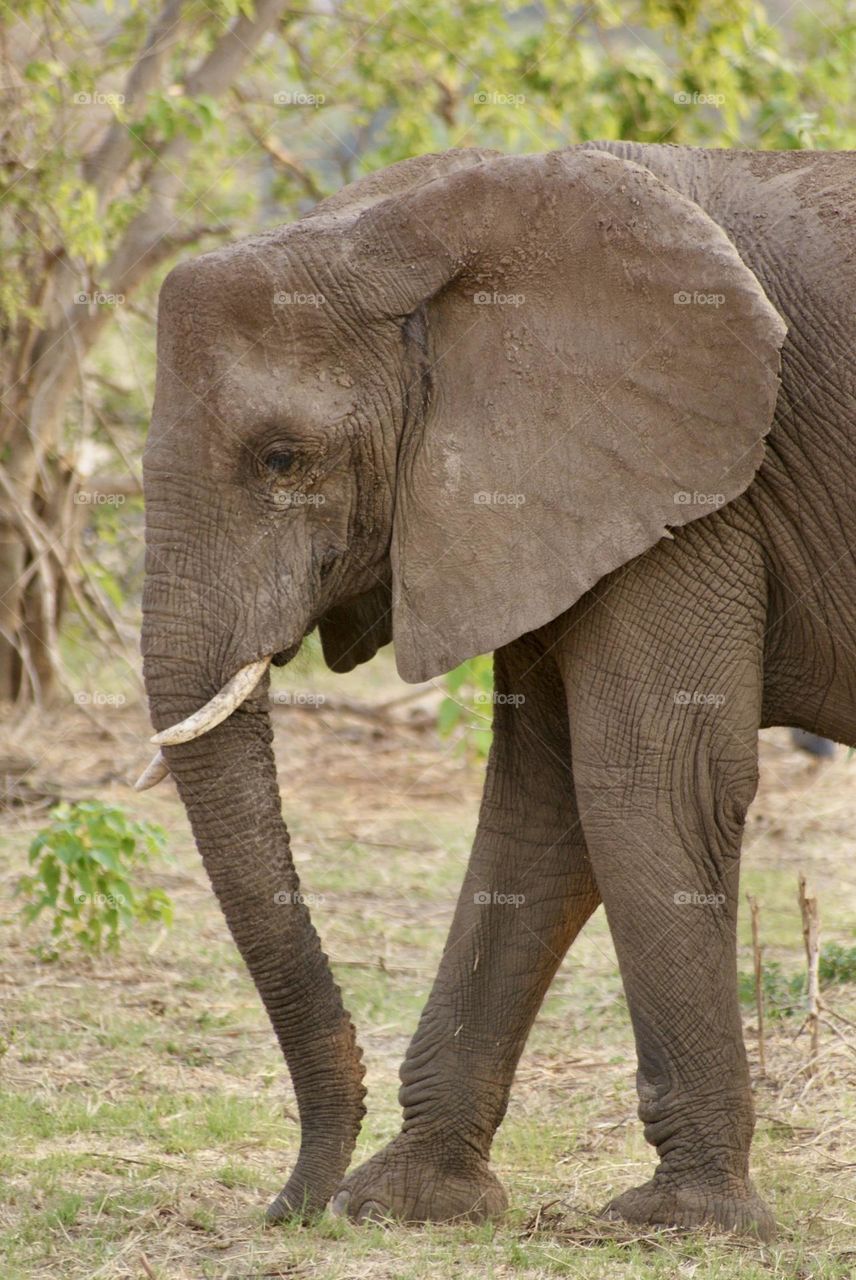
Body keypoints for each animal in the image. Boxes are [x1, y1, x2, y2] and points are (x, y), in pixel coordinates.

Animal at [136, 140, 849, 1239]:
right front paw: (404, 1201)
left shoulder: (699, 487)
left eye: (282, 459)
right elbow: (542, 802)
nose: (286, 1209)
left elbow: (648, 780)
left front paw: (680, 1220)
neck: (419, 223)